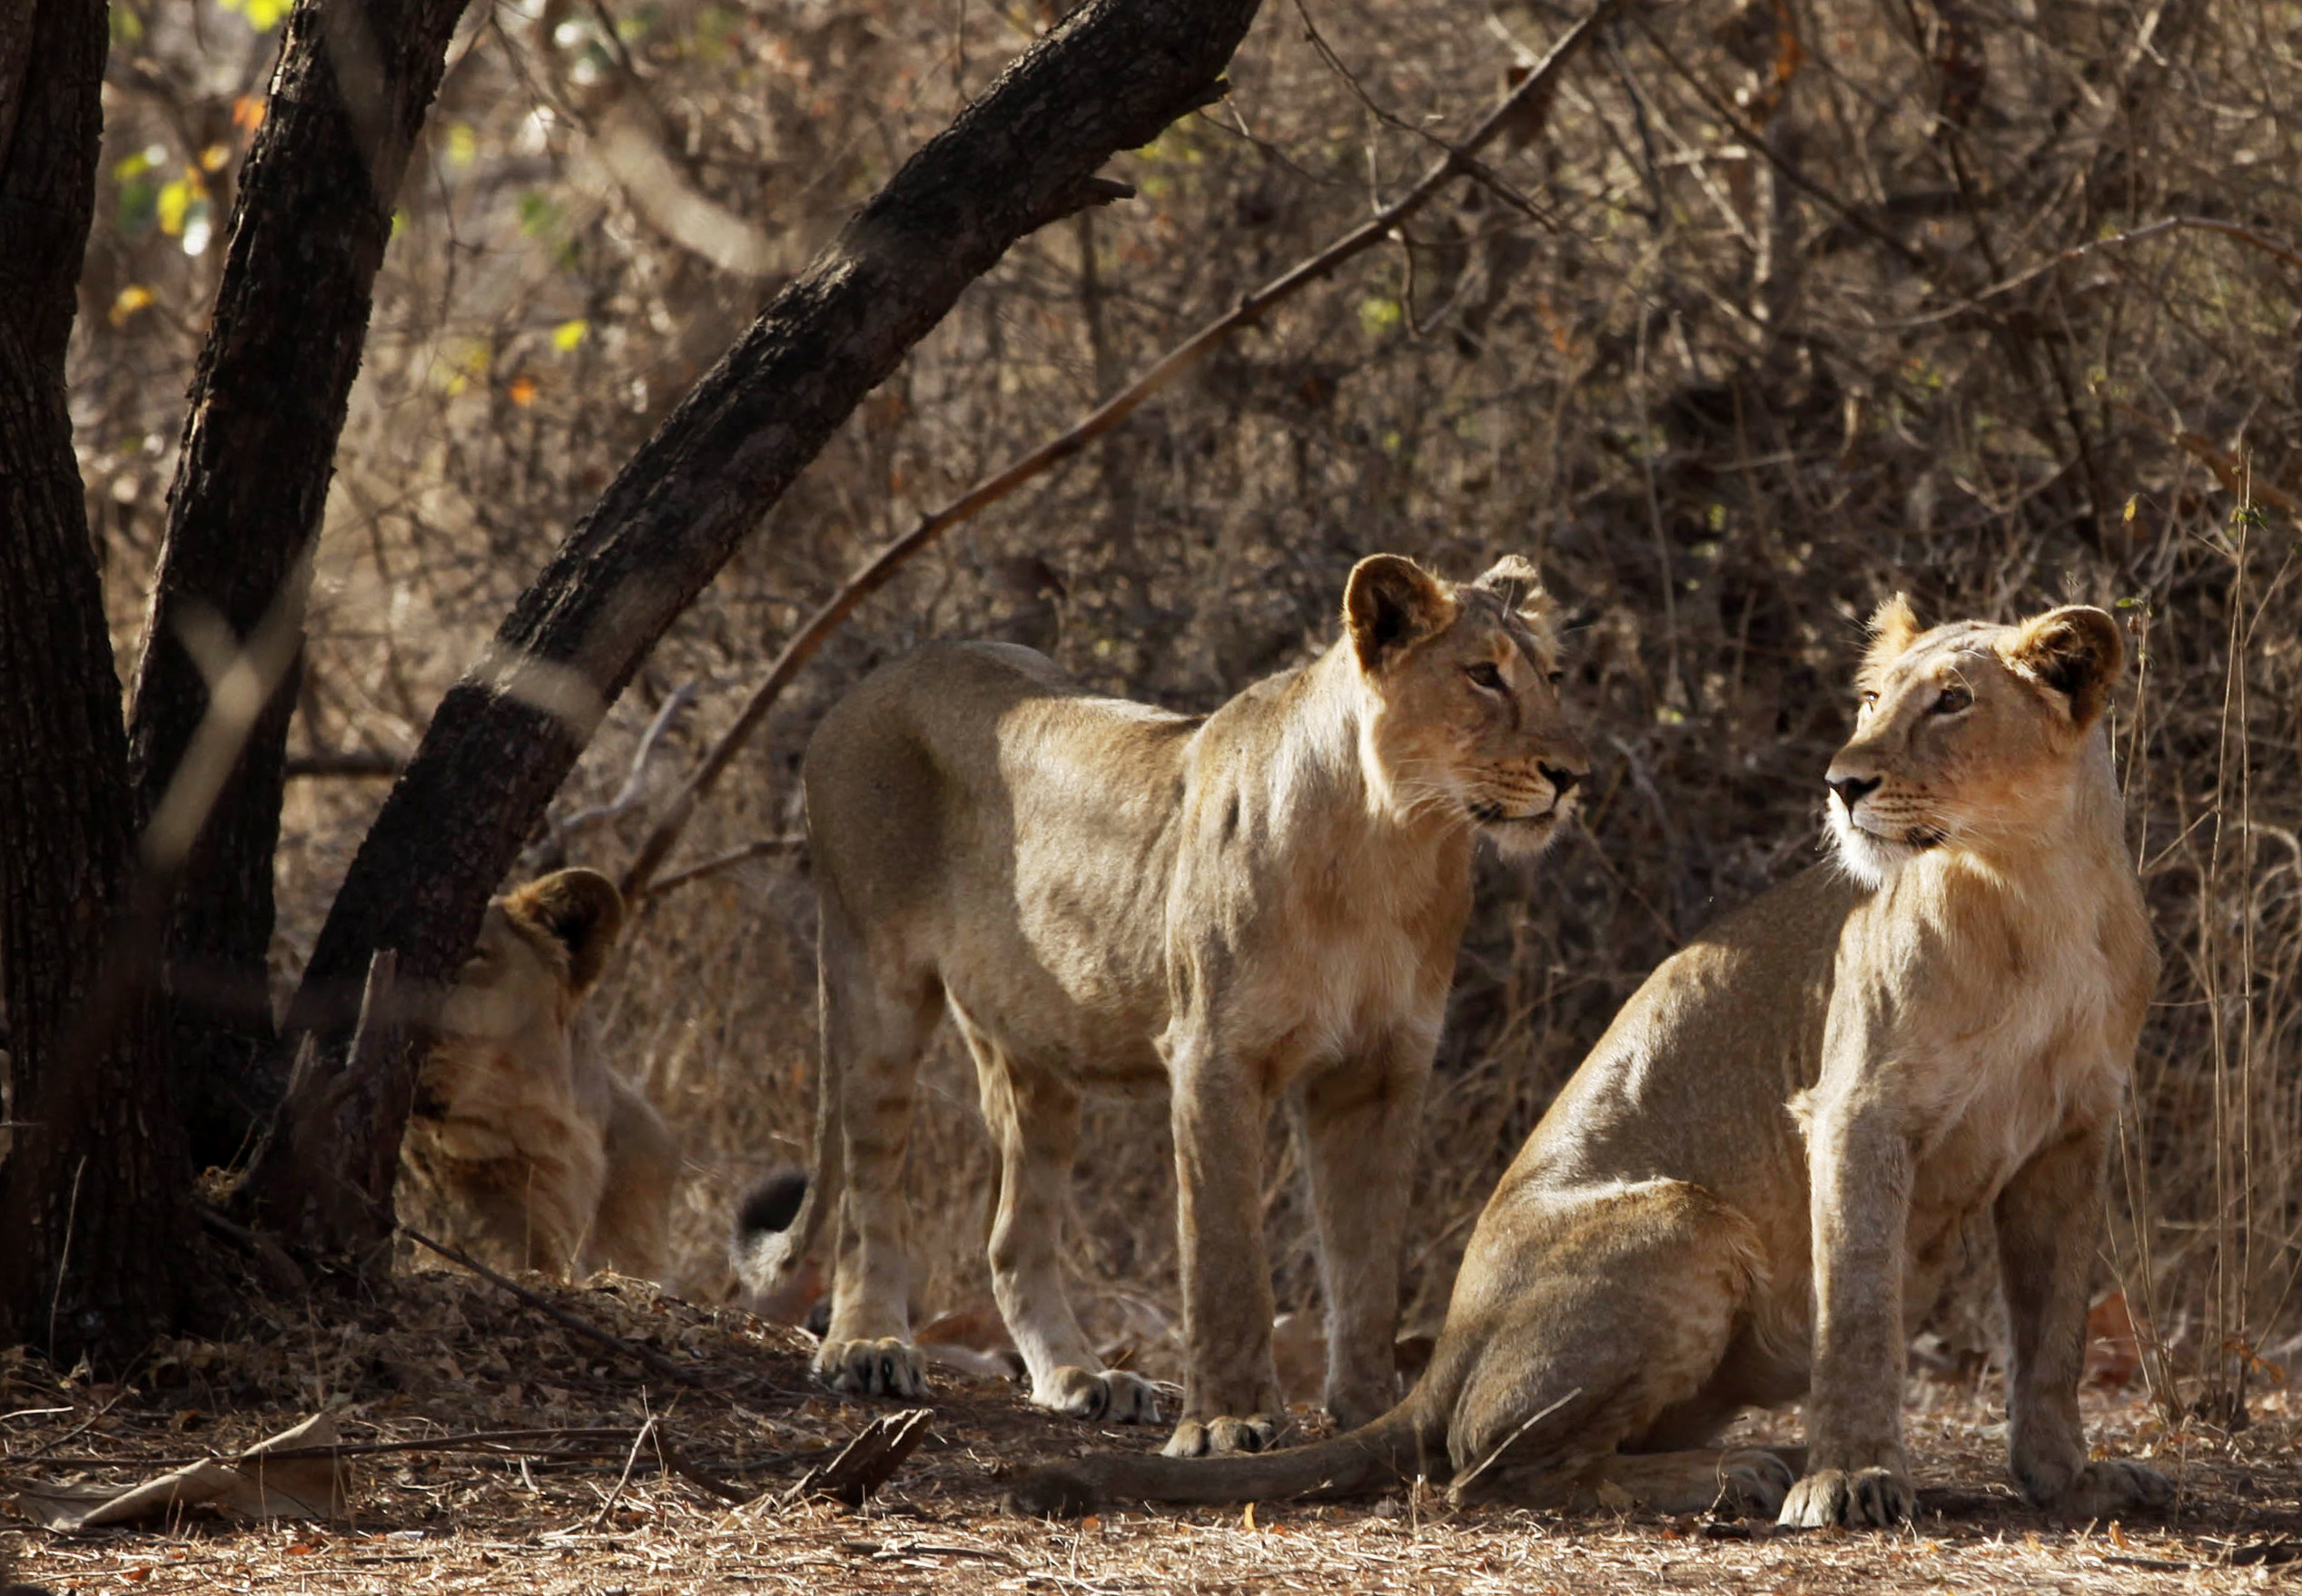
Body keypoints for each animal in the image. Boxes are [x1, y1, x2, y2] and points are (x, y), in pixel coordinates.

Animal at [736, 553, 1591, 1457]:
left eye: (1553, 677)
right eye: (1481, 675)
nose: (1573, 775)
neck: (1392, 846)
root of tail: (871, 684)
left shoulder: (1381, 1070)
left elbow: (1366, 1266)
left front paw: (1369, 1414)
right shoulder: (1215, 1052)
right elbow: (1224, 1256)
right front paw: (1225, 1421)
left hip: (1031, 1044)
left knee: (1011, 1239)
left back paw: (1082, 1379)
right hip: (875, 978)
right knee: (869, 1187)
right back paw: (867, 1345)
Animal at [1008, 597, 2173, 1527]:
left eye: (1954, 702)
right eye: (1876, 697)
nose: (1843, 781)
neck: (2030, 892)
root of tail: (1441, 1357)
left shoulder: (2076, 1133)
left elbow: (2053, 1336)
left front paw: (2071, 1480)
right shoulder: (1856, 1108)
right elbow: (1861, 1307)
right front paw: (1847, 1480)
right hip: (1687, 1221)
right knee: (1478, 1473)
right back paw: (1741, 1473)